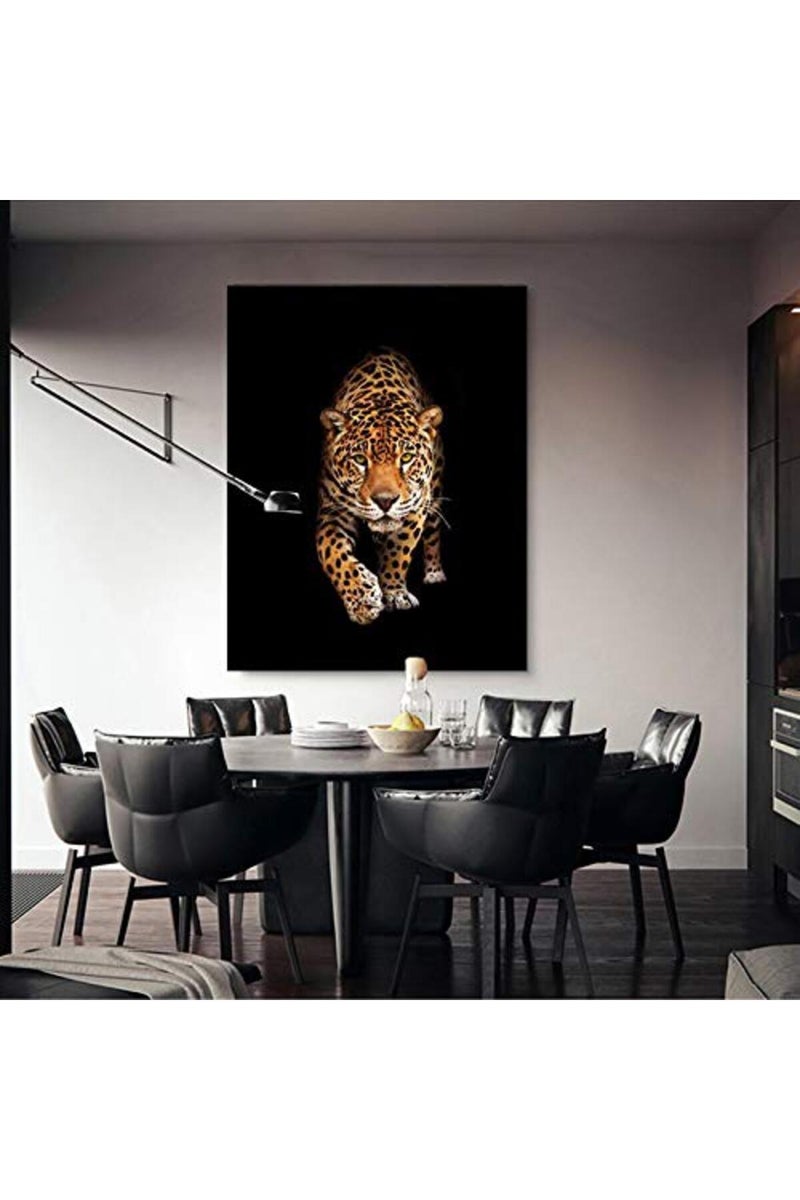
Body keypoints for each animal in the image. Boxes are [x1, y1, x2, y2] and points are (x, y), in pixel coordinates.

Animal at [316, 348, 446, 624]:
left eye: (406, 458)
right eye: (359, 459)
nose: (385, 501)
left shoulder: (415, 506)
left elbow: (398, 551)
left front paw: (394, 593)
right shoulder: (333, 510)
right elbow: (332, 552)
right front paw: (362, 600)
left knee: (433, 532)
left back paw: (434, 573)